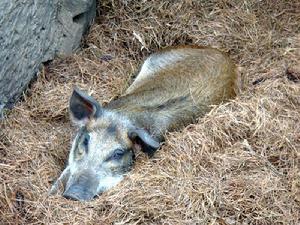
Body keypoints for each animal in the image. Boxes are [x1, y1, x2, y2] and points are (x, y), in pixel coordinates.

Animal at [48, 45, 237, 200]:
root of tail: (224, 55)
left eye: (118, 153)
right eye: (86, 141)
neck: (125, 116)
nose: (74, 195)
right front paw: (51, 192)